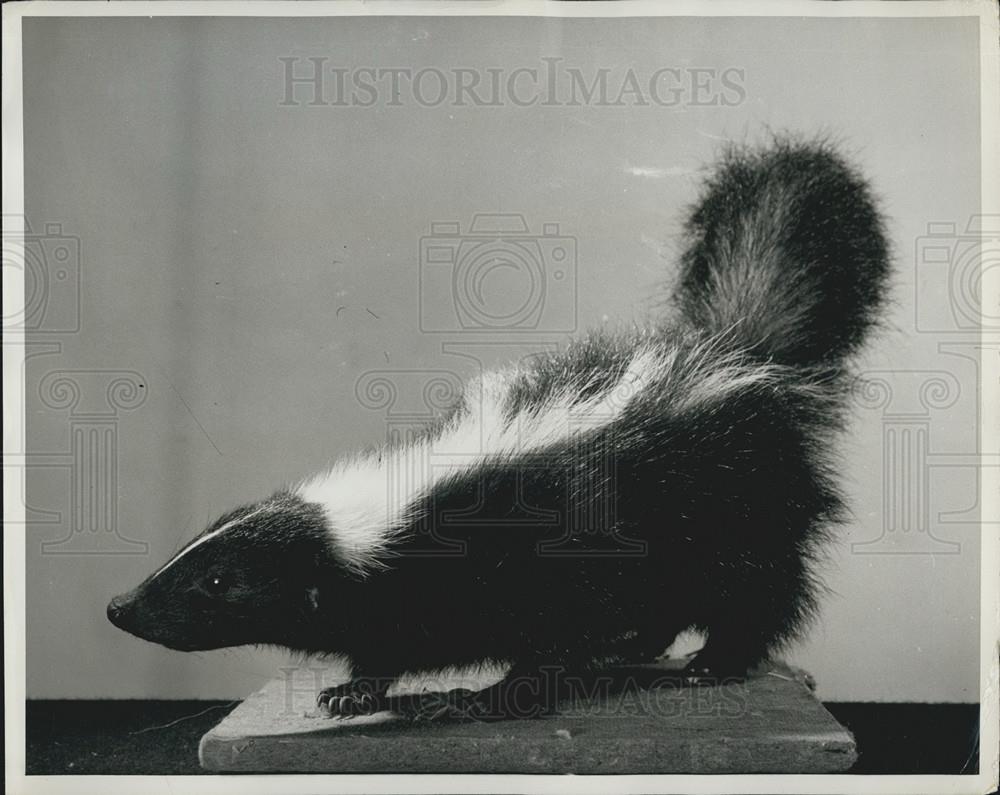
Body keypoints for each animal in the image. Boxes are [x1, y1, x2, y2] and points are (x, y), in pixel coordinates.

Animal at [107, 140, 892, 720]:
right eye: (191, 552)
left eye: (219, 581)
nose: (119, 605)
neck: (409, 508)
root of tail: (740, 351)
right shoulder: (406, 598)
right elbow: (387, 639)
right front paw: (354, 689)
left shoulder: (551, 548)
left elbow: (551, 641)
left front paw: (486, 694)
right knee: (670, 602)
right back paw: (638, 645)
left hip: (739, 506)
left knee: (760, 590)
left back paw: (711, 662)